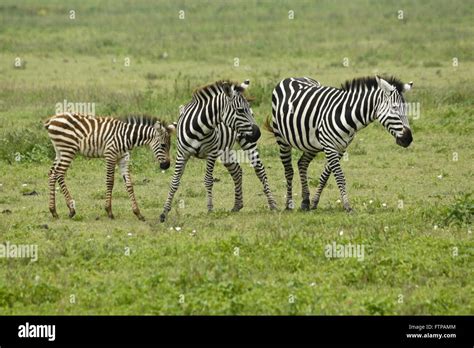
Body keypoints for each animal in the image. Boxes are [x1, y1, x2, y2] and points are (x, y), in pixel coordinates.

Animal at [44, 112, 176, 220]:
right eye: (163, 145)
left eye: (170, 146)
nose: (166, 166)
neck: (126, 137)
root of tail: (52, 119)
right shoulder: (110, 156)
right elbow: (110, 181)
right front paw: (109, 211)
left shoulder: (123, 159)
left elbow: (129, 184)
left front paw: (138, 213)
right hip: (68, 149)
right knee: (59, 173)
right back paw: (71, 209)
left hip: (59, 151)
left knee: (52, 173)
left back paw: (53, 211)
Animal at [159, 79, 276, 222]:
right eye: (240, 110)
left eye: (246, 109)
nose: (258, 133)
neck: (200, 129)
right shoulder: (182, 154)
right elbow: (175, 181)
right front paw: (164, 212)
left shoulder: (212, 153)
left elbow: (208, 180)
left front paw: (210, 209)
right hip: (225, 150)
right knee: (237, 171)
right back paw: (237, 205)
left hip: (246, 142)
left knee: (260, 170)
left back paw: (272, 204)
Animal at [266, 75, 414, 212]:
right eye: (394, 108)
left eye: (406, 109)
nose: (408, 139)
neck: (346, 115)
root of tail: (291, 78)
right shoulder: (329, 146)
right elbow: (340, 176)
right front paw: (347, 206)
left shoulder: (341, 148)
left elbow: (325, 176)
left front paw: (314, 202)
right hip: (282, 139)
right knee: (288, 170)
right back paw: (288, 205)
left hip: (311, 143)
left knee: (302, 164)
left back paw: (305, 202)